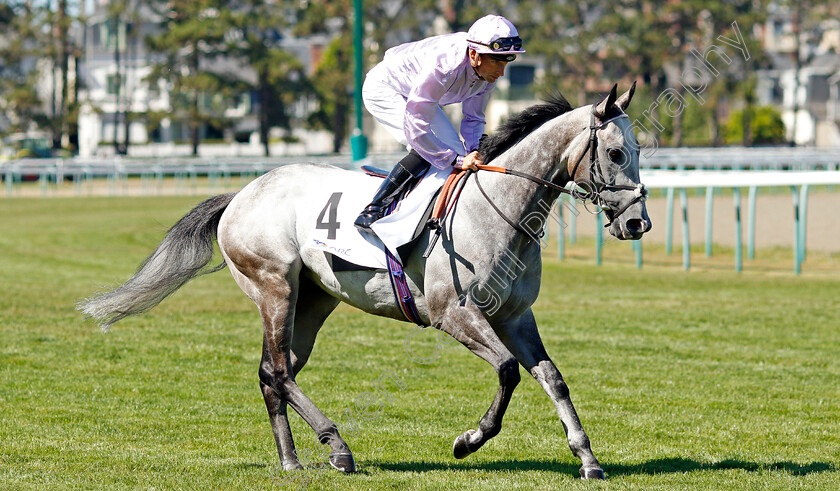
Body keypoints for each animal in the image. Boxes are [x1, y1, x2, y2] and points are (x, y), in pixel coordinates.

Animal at [80, 84, 648, 480]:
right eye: (617, 153)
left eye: (641, 150)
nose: (637, 223)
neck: (498, 210)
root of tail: (241, 194)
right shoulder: (454, 314)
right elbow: (508, 371)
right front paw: (469, 440)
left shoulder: (515, 317)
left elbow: (553, 378)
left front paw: (587, 459)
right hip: (275, 288)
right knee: (279, 372)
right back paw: (338, 447)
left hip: (312, 301)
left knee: (272, 372)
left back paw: (292, 460)